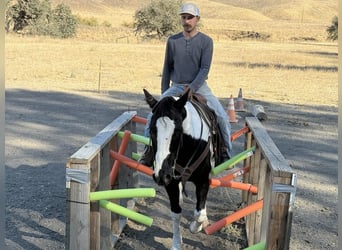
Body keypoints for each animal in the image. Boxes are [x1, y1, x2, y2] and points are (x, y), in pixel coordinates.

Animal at [143, 89, 218, 249]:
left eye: (177, 131)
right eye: (152, 129)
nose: (161, 175)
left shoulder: (203, 180)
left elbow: (199, 214)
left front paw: (196, 227)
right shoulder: (171, 182)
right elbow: (176, 212)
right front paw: (177, 243)